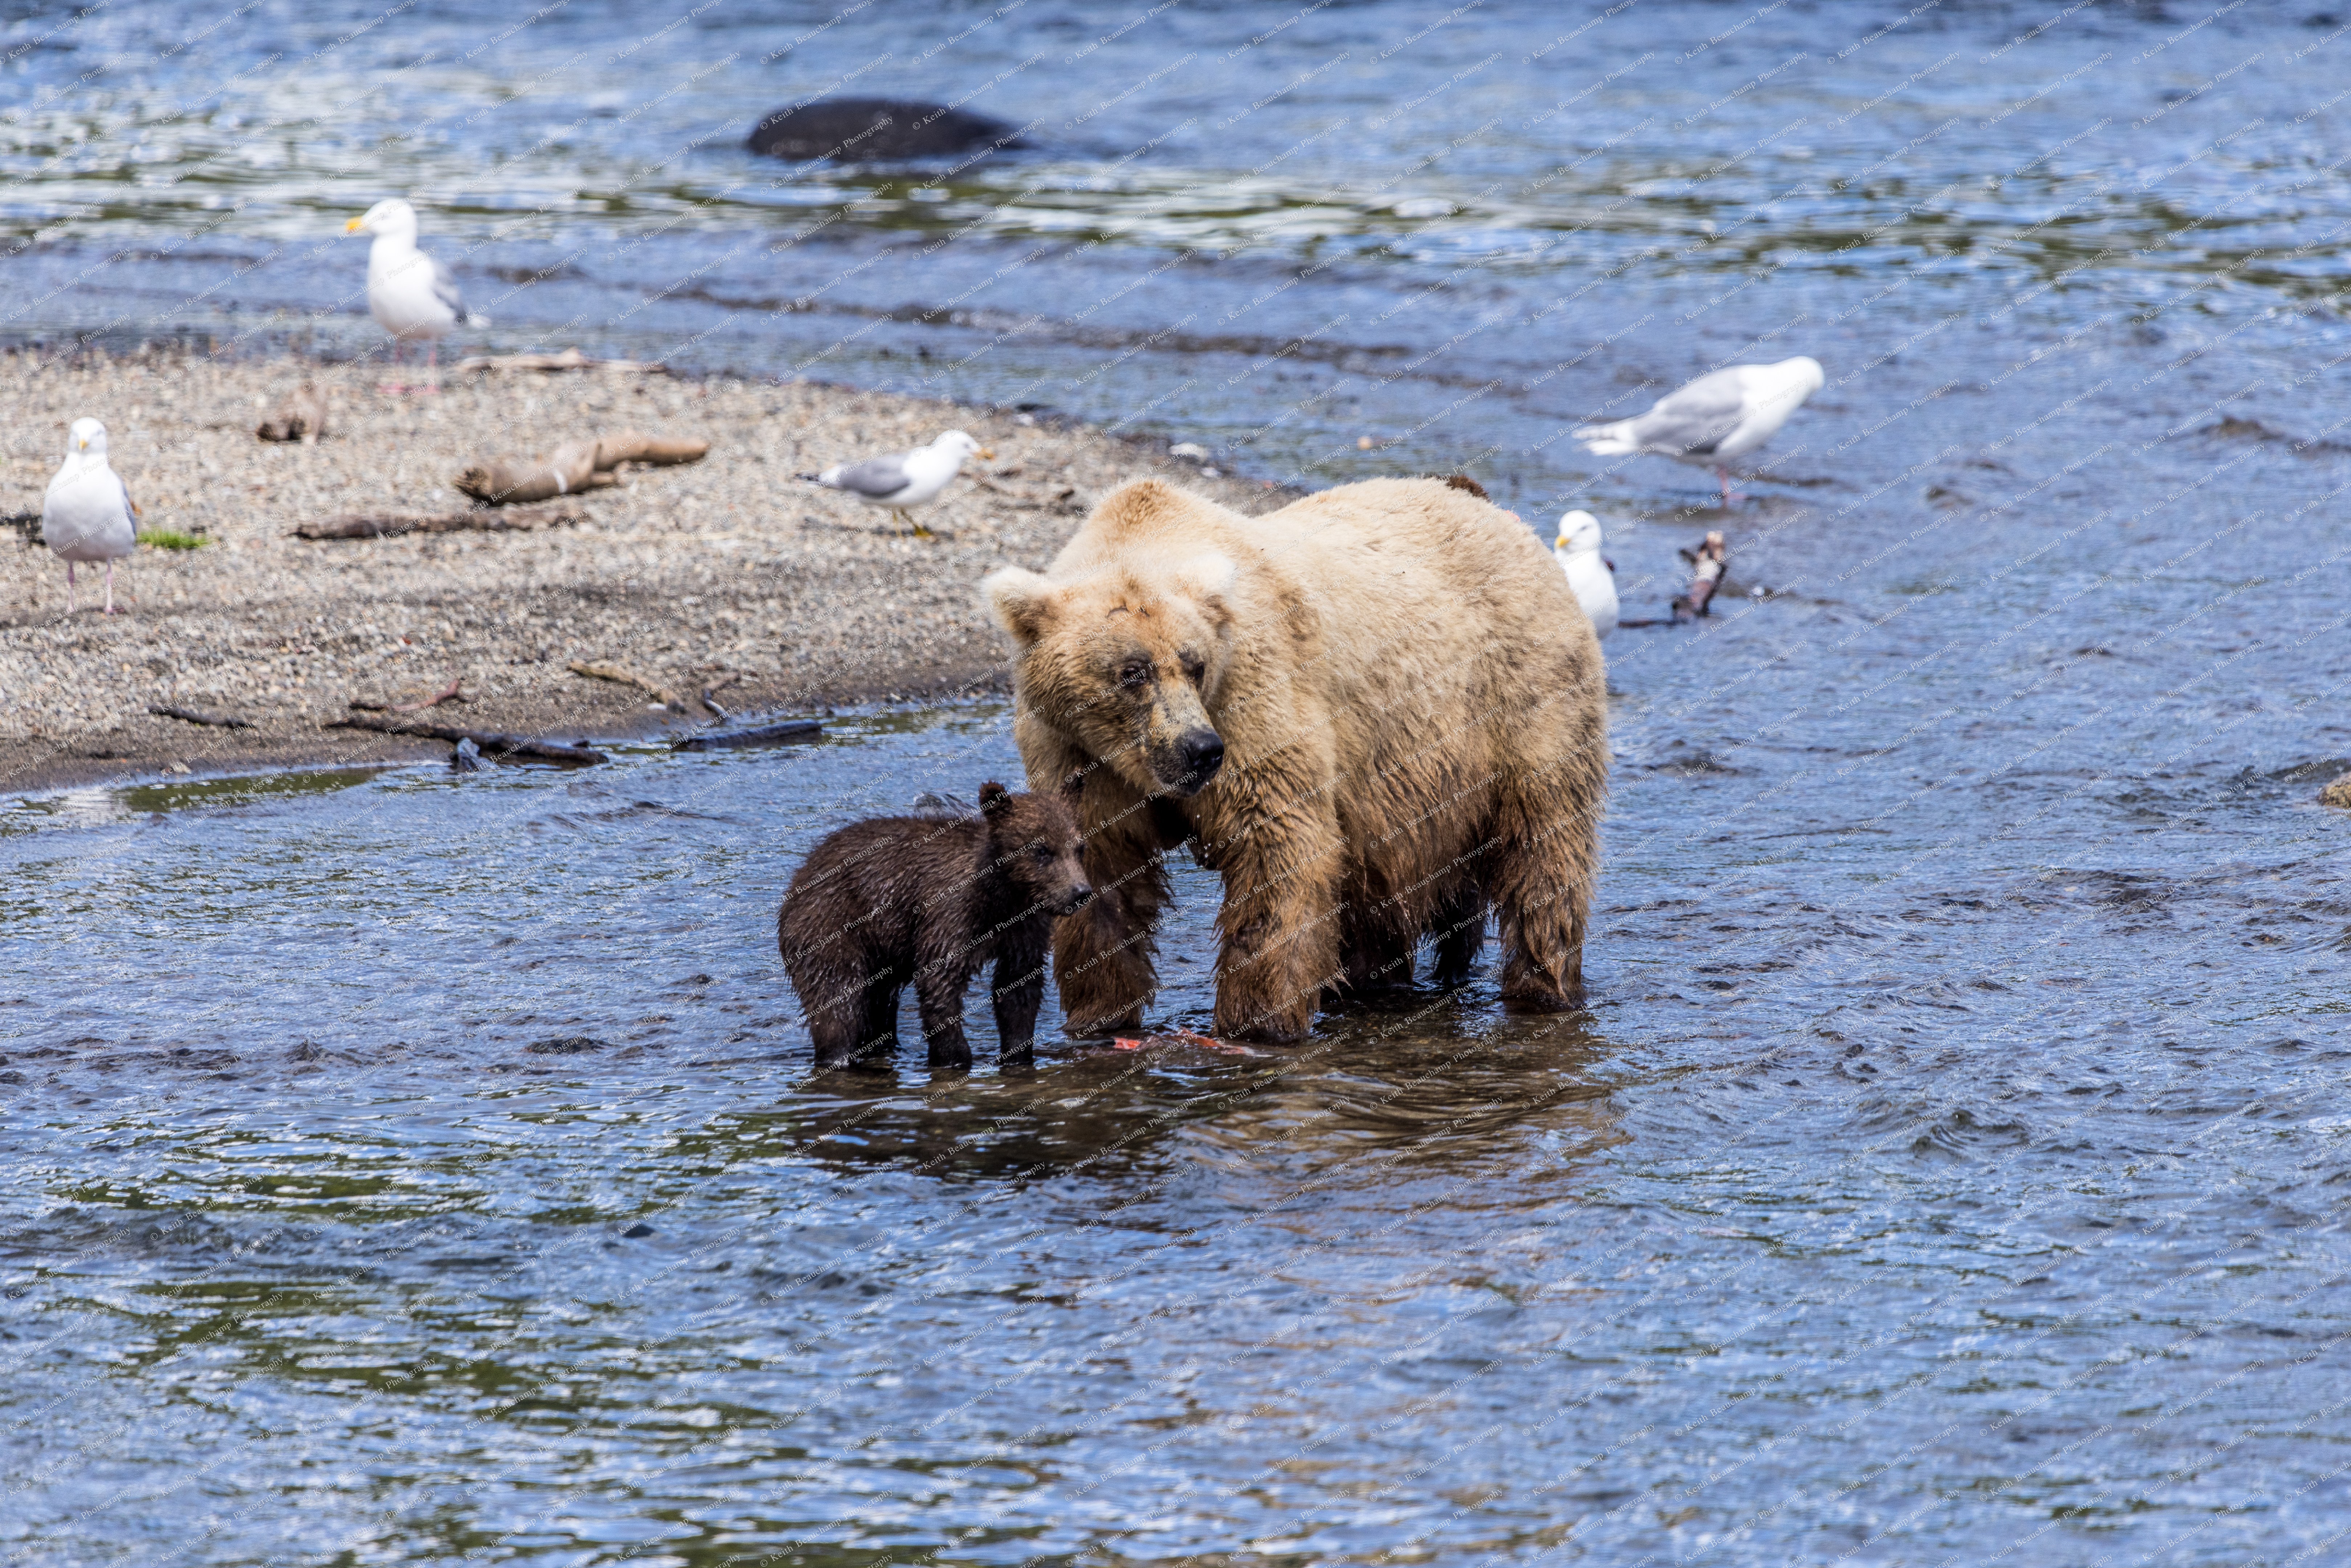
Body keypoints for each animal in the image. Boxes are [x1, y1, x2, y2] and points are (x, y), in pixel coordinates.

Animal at [776, 779, 1093, 1068]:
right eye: (1042, 850)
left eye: (1079, 848)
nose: (1080, 892)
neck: (1003, 895)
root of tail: (801, 873)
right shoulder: (951, 914)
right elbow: (941, 981)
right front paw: (954, 1057)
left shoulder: (1024, 929)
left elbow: (1018, 988)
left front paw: (1017, 1054)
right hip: (832, 926)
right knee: (838, 1001)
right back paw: (837, 1054)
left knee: (878, 1006)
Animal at [980, 475, 1607, 1044]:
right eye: (1132, 671)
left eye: (1194, 663)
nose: (1199, 751)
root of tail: (1490, 508)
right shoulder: (1081, 757)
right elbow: (1102, 871)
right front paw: (1099, 1016)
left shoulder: (1253, 701)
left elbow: (1275, 847)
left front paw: (1256, 1022)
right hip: (1393, 788)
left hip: (1519, 703)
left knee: (1543, 855)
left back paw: (1542, 986)